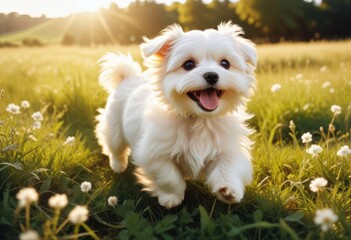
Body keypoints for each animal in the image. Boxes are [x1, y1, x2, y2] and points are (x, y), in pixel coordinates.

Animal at [95, 23, 258, 210]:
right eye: (188, 64)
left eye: (225, 63)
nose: (212, 75)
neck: (199, 119)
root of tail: (128, 77)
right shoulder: (154, 152)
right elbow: (168, 176)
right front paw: (171, 198)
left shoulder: (229, 147)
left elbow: (229, 166)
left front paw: (228, 190)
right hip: (114, 127)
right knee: (115, 147)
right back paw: (118, 165)